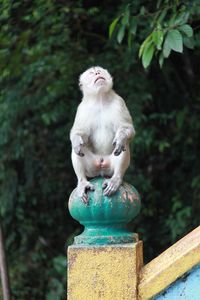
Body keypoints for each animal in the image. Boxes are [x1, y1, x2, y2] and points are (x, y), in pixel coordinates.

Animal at [69, 66, 135, 204]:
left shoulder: (119, 102)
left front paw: (121, 138)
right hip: (91, 168)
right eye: (91, 73)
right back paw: (82, 182)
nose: (97, 73)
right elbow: (79, 133)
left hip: (110, 167)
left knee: (123, 146)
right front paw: (77, 140)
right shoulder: (82, 108)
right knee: (77, 149)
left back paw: (115, 179)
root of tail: (101, 166)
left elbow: (127, 129)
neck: (100, 99)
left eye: (99, 70)